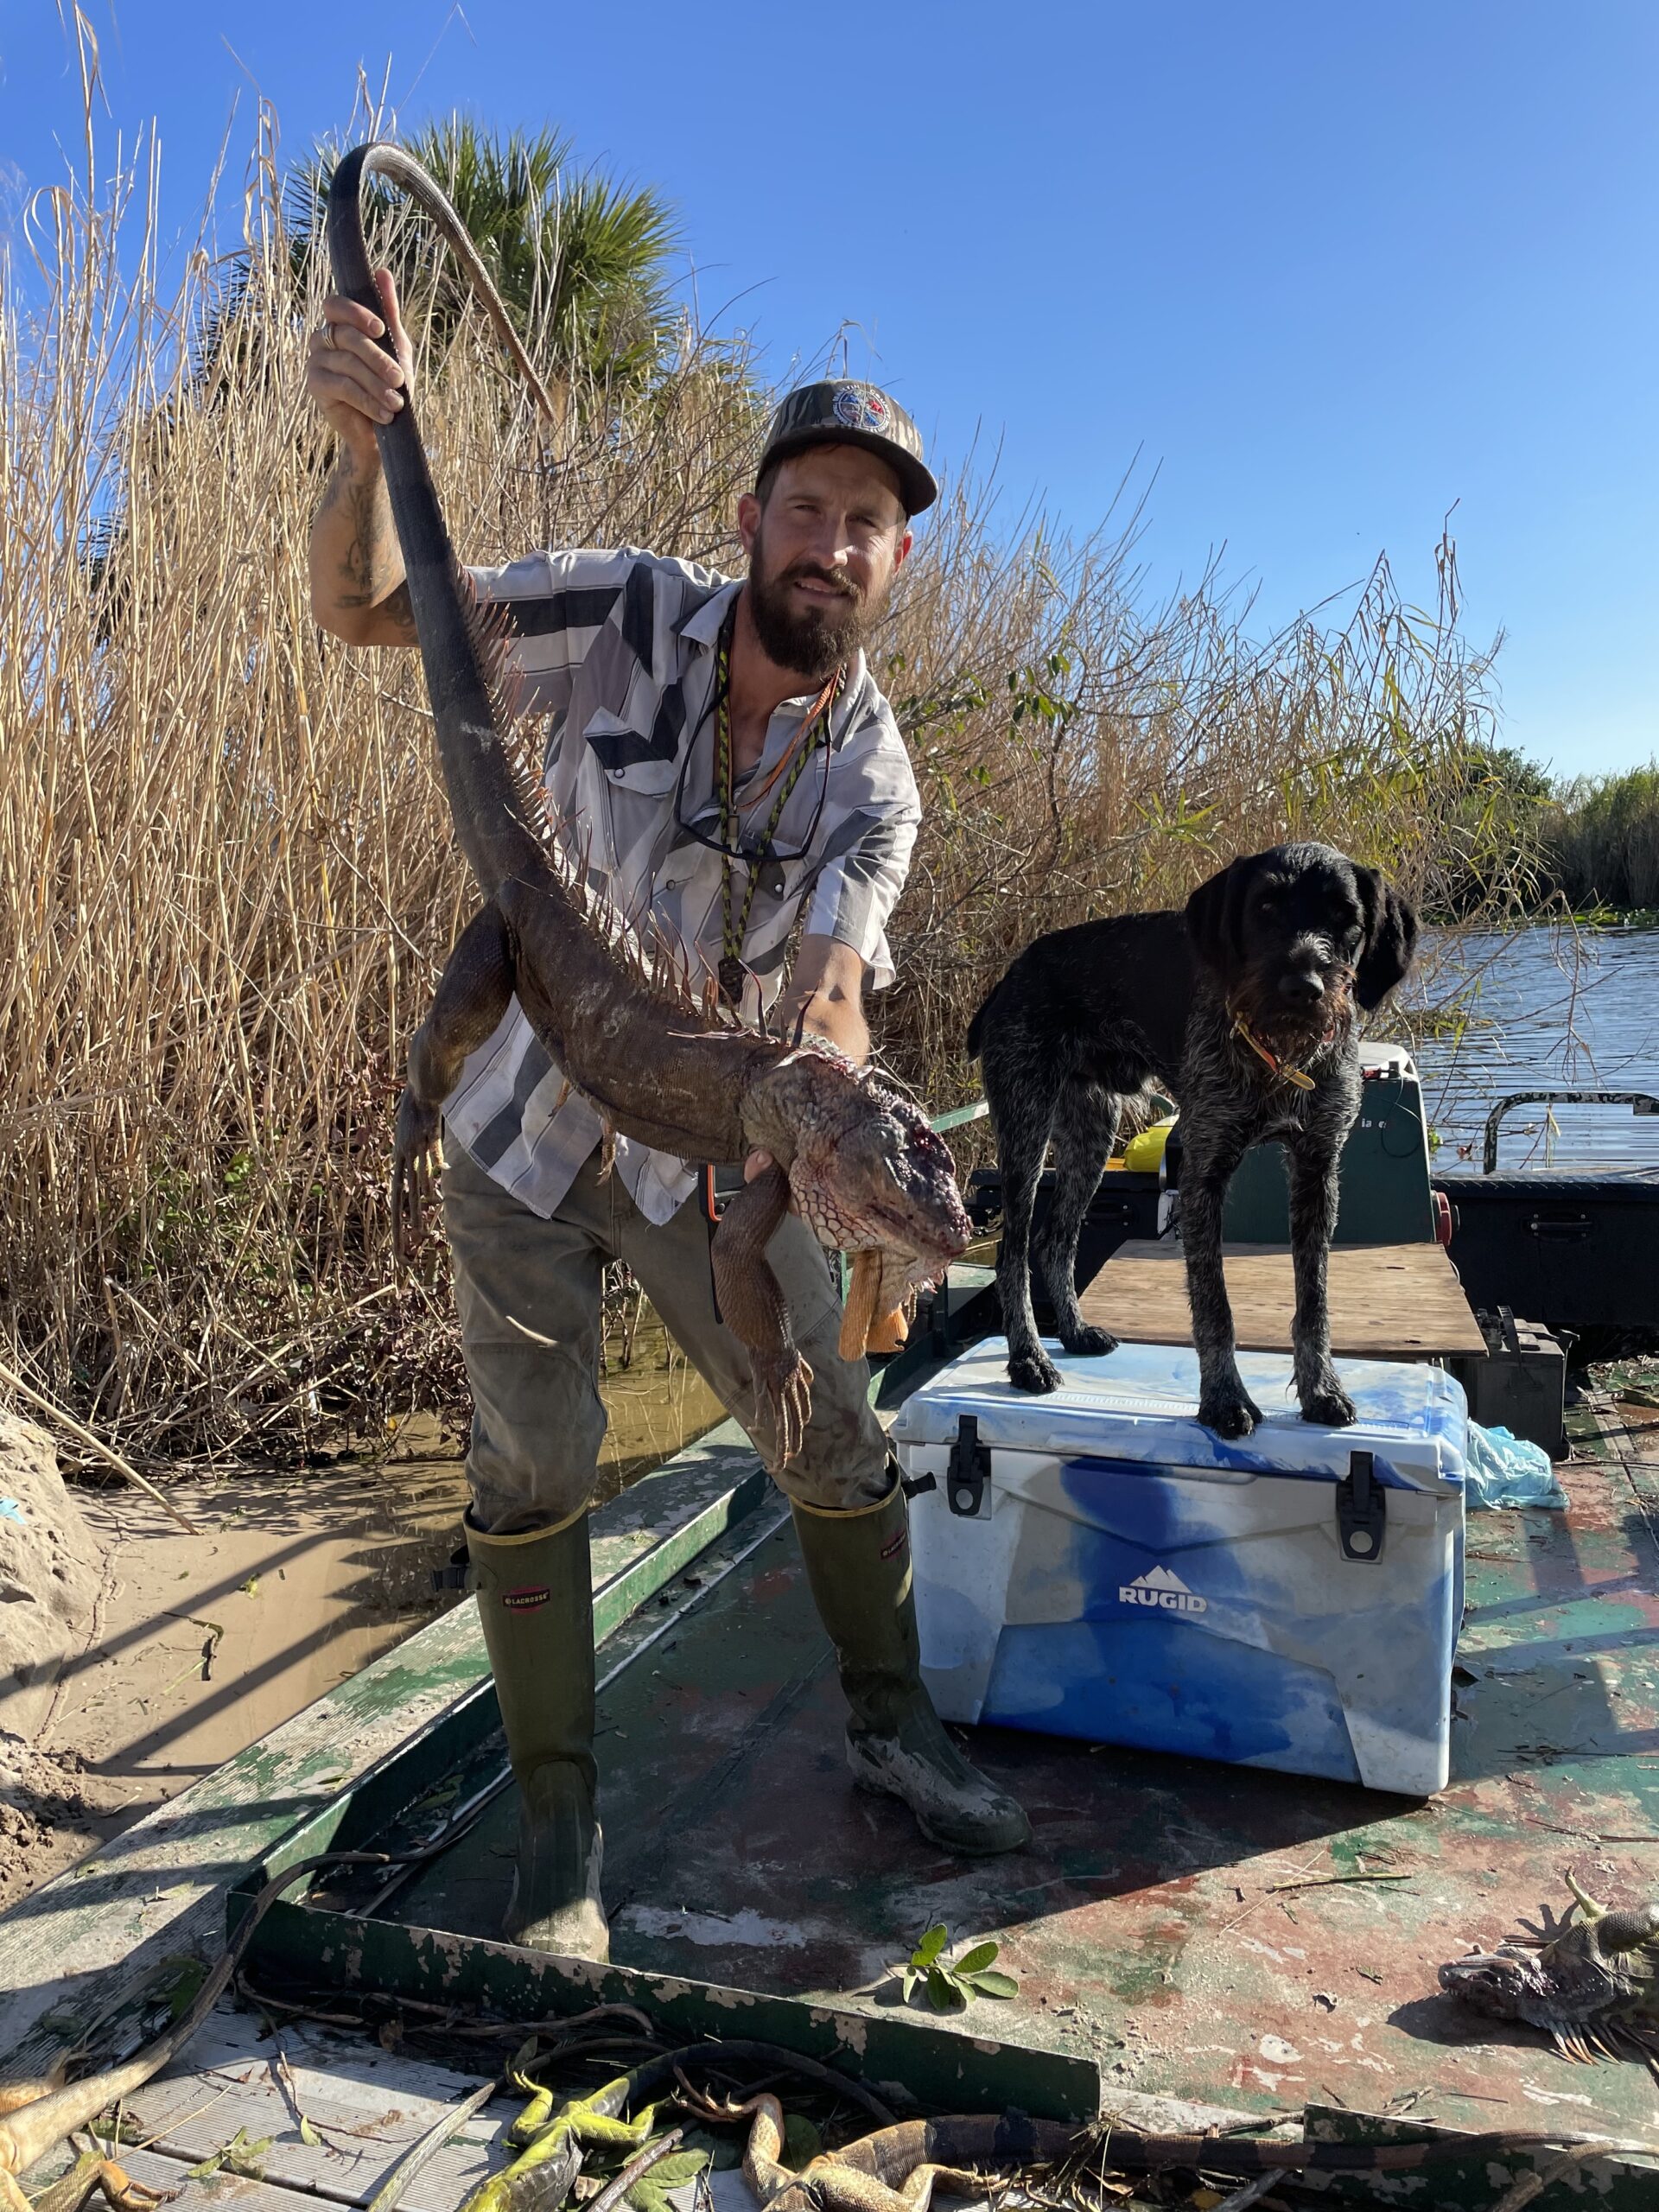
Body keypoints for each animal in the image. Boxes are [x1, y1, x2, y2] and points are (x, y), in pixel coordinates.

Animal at [969, 840, 1424, 1433]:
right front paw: (1225, 1398)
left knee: (1057, 1240)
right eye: (1265, 908)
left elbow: (1314, 1301)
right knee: (1013, 1253)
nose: (1302, 989)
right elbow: (1215, 1305)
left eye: (1345, 916)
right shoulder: (1203, 1173)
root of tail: (1013, 973)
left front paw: (1321, 1387)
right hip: (1026, 1128)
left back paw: (1073, 1331)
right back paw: (1028, 1358)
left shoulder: (1316, 1170)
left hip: (1092, 1136)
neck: (1277, 1058)